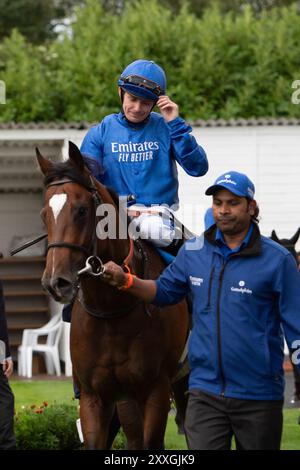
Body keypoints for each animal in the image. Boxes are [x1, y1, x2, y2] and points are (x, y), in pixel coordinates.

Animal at [35, 142, 190, 448]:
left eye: (82, 210)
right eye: (45, 214)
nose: (56, 282)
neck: (112, 310)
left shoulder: (155, 391)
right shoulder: (95, 396)